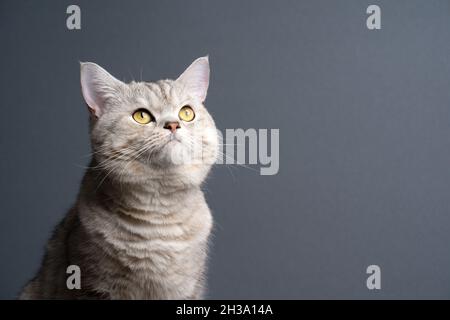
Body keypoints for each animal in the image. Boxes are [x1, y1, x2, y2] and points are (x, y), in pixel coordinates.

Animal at [19, 56, 220, 298]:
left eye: (186, 113)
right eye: (141, 116)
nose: (173, 124)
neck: (160, 211)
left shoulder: (188, 290)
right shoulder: (91, 285)